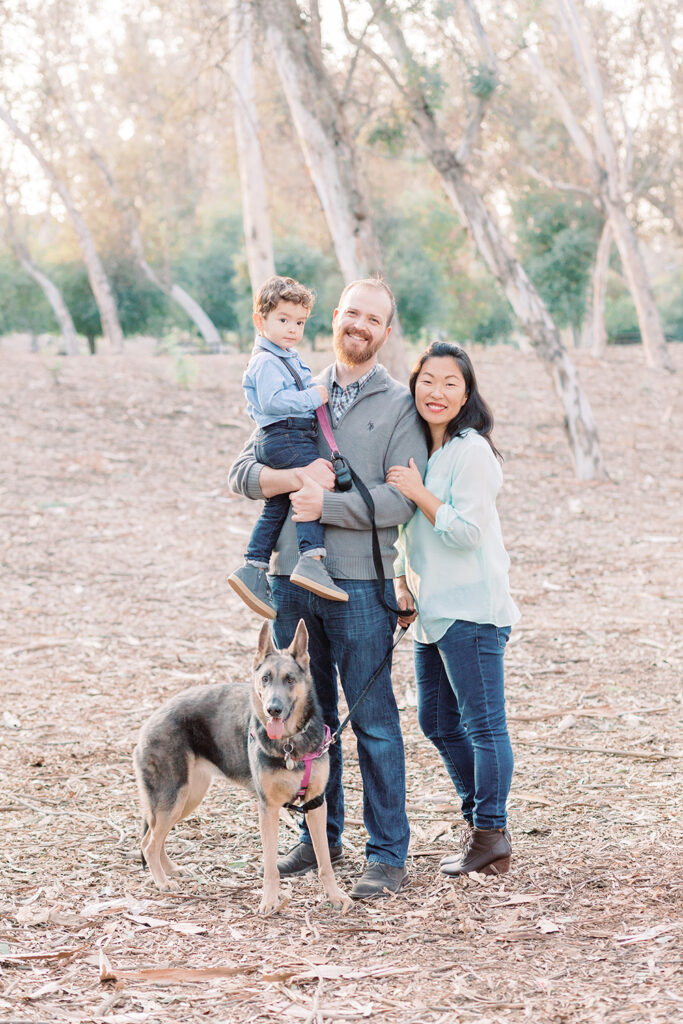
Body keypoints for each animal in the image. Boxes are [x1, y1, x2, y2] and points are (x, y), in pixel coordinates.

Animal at [133, 618, 350, 917]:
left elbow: (325, 862)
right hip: (173, 798)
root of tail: (149, 721)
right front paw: (269, 901)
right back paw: (162, 882)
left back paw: (171, 870)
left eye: (290, 679)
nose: (273, 710)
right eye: (265, 678)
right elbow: (270, 865)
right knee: (149, 843)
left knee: (155, 838)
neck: (289, 744)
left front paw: (335, 896)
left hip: (186, 798)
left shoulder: (316, 804)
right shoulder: (268, 808)